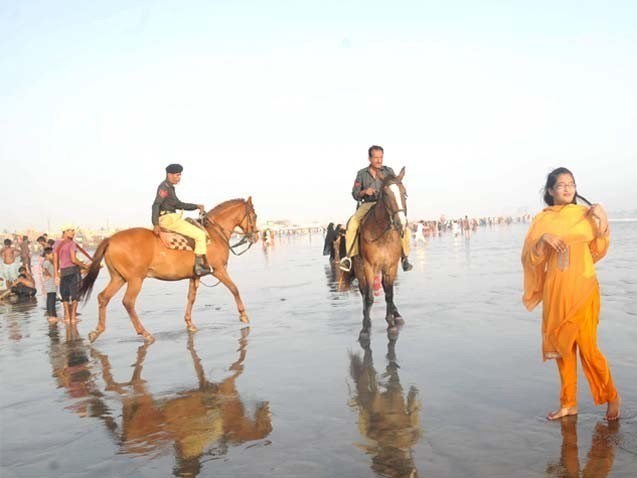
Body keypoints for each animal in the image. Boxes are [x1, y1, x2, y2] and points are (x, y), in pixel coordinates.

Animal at [79, 197, 258, 343]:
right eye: (255, 216)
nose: (256, 236)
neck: (213, 234)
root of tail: (110, 239)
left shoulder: (195, 275)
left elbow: (191, 298)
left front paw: (189, 323)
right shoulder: (219, 270)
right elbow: (234, 288)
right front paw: (243, 315)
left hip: (119, 278)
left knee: (103, 297)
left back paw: (97, 331)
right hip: (135, 279)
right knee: (128, 302)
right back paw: (144, 333)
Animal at [352, 168, 408, 341]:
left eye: (404, 193)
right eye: (387, 194)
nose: (401, 223)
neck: (382, 234)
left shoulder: (391, 266)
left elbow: (389, 294)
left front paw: (391, 325)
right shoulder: (368, 266)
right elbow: (369, 297)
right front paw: (365, 329)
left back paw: (395, 315)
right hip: (359, 268)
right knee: (364, 292)